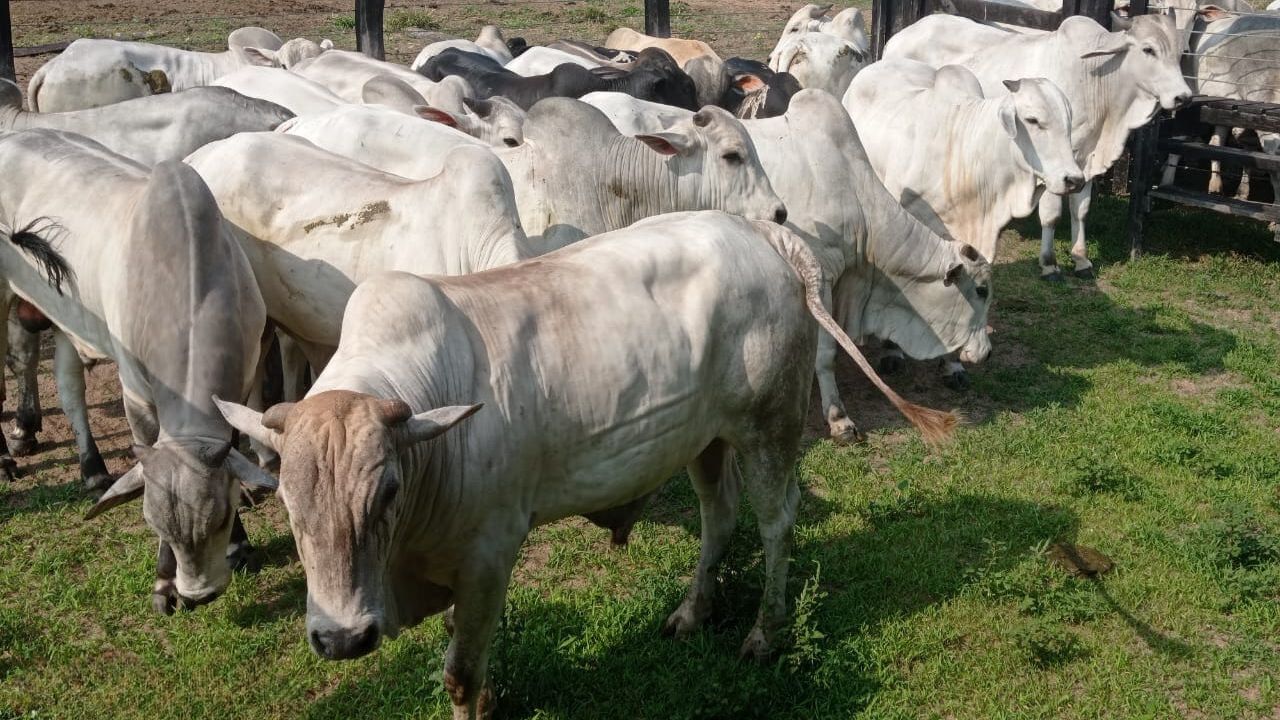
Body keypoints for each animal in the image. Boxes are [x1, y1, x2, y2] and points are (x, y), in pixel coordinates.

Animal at [0, 128, 275, 609]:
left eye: (222, 518)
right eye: (154, 525)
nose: (200, 594)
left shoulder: (241, 385)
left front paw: (240, 545)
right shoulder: (136, 394)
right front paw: (165, 585)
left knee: (63, 383)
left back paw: (87, 465)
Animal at [217, 207, 962, 717]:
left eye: (388, 492)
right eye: (288, 502)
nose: (342, 638)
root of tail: (761, 232)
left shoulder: (489, 553)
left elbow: (460, 669)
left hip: (768, 426)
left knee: (777, 522)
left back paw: (763, 632)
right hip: (704, 439)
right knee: (719, 518)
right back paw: (692, 613)